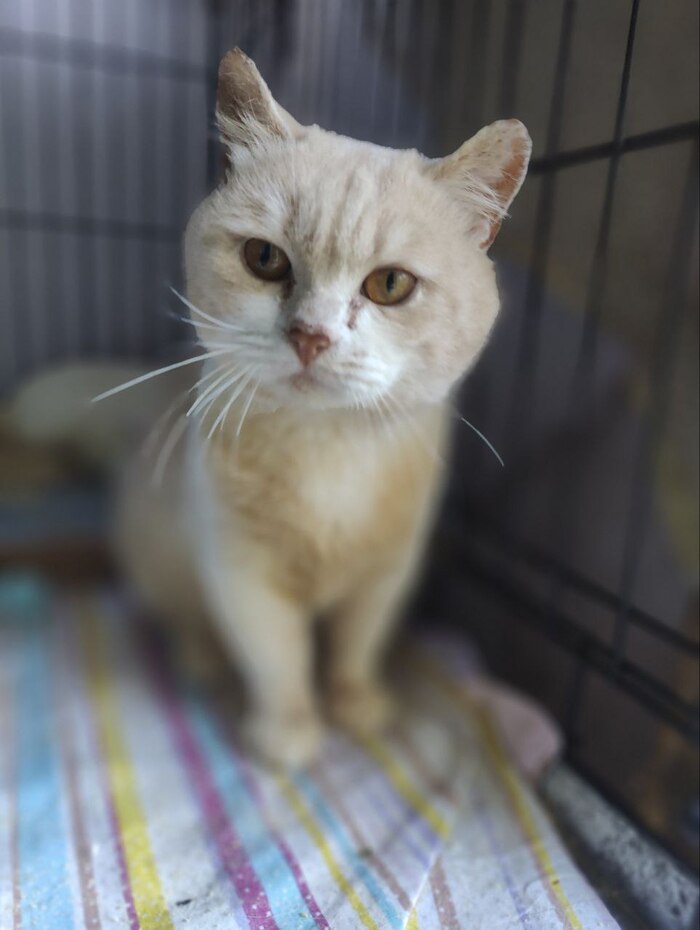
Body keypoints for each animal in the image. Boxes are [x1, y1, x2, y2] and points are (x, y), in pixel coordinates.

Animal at [114, 48, 531, 767]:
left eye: (390, 284)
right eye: (264, 257)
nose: (310, 335)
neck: (328, 453)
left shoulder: (389, 572)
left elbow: (355, 645)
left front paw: (357, 703)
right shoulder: (242, 573)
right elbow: (277, 658)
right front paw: (288, 733)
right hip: (161, 556)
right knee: (183, 619)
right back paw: (202, 660)